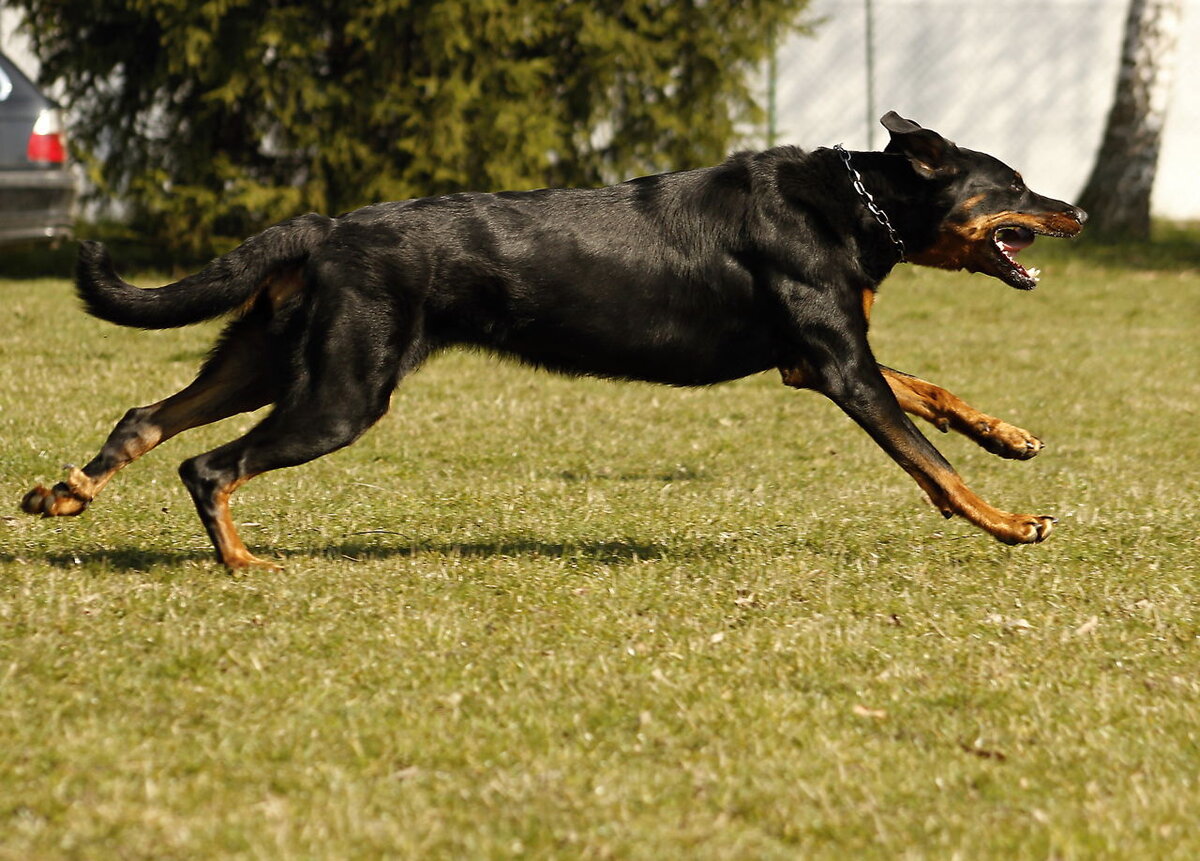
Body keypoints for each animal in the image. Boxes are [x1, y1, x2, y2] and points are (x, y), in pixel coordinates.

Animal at [18, 112, 1089, 573]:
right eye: (1014, 183)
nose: (1075, 209)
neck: (861, 203)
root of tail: (323, 228)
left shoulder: (814, 358)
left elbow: (936, 395)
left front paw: (1011, 436)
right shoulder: (835, 365)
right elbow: (930, 462)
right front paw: (1009, 521)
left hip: (270, 356)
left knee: (146, 416)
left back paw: (66, 492)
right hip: (342, 391)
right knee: (207, 463)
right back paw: (243, 563)